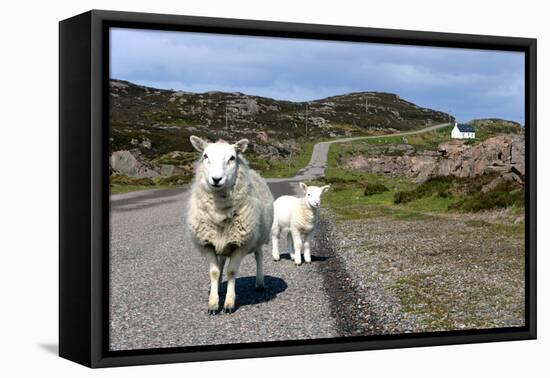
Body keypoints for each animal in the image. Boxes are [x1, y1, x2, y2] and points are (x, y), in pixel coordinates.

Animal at [187, 135, 274, 314]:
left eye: (232, 158)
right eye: (205, 156)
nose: (216, 179)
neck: (220, 211)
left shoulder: (240, 244)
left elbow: (232, 271)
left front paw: (229, 303)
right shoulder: (208, 243)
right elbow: (214, 272)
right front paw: (213, 303)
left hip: (257, 237)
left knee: (259, 256)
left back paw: (260, 283)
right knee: (221, 262)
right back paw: (219, 287)